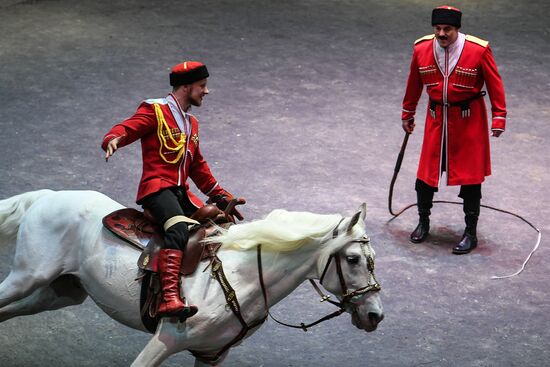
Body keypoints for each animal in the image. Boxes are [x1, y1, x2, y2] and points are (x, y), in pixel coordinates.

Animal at [0, 191, 384, 366]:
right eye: (352, 259)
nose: (375, 315)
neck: (239, 280)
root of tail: (48, 196)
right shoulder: (164, 341)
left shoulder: (212, 355)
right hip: (26, 277)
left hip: (58, 293)